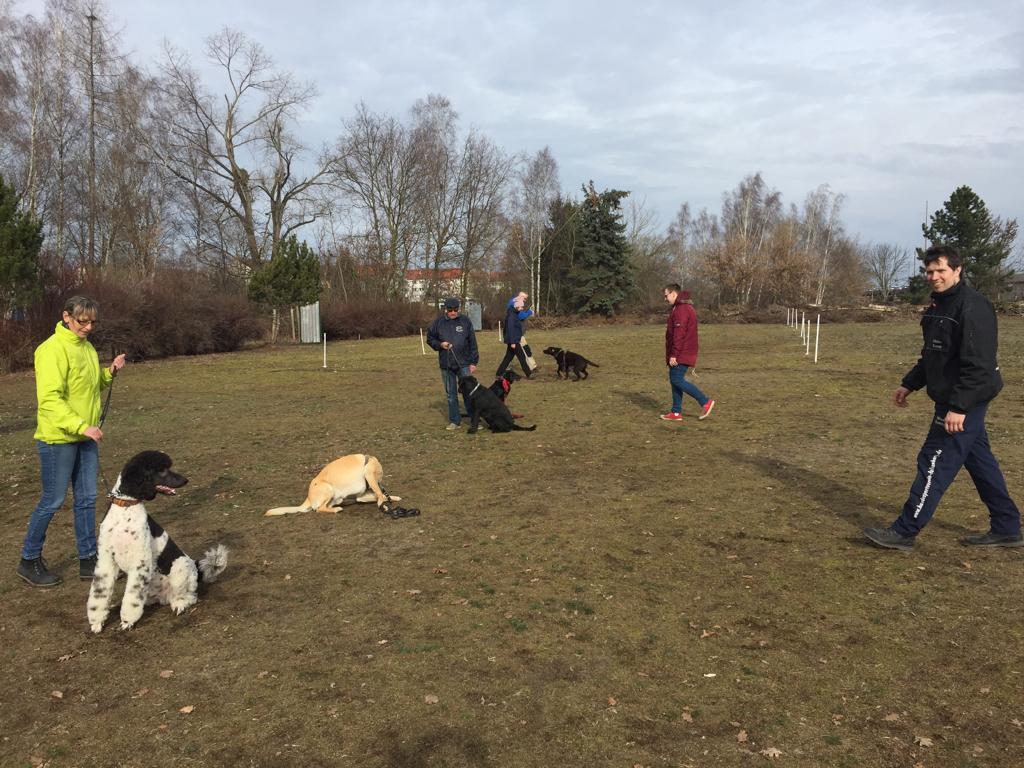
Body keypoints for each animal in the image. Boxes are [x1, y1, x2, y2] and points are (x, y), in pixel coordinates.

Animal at [87, 451, 229, 633]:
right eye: (161, 470)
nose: (185, 480)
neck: (125, 508)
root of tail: (198, 569)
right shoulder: (106, 561)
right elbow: (100, 593)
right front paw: (97, 621)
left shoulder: (140, 562)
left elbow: (132, 599)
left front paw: (127, 621)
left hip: (180, 568)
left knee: (190, 596)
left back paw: (180, 604)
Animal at [264, 454, 415, 518]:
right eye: (379, 479)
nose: (381, 485)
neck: (368, 462)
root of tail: (308, 498)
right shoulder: (370, 477)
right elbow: (379, 494)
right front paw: (384, 503)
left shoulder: (361, 496)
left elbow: (379, 495)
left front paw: (392, 498)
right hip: (328, 489)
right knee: (318, 509)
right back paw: (337, 510)